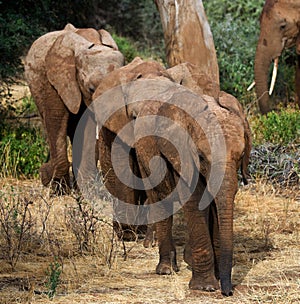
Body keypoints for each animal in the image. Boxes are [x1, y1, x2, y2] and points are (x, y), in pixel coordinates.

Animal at [24, 24, 125, 195]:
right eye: (91, 89)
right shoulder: (54, 80)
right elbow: (56, 120)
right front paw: (59, 191)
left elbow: (87, 127)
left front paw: (85, 191)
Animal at [90, 58, 252, 296]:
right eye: (201, 156)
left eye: (241, 156)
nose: (228, 291)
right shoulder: (180, 154)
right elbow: (194, 201)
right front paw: (205, 286)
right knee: (158, 199)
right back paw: (166, 268)